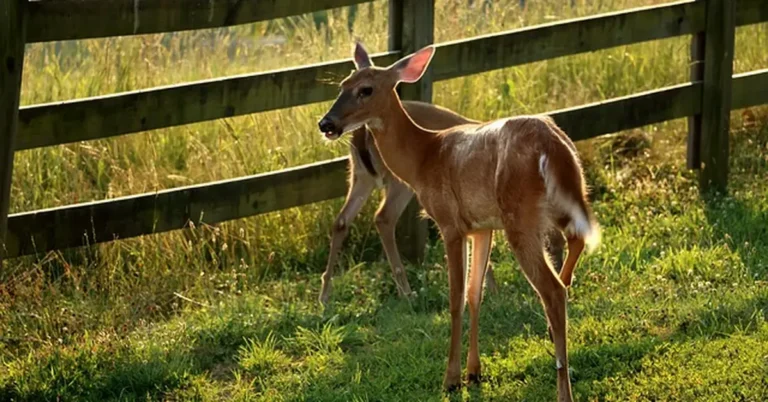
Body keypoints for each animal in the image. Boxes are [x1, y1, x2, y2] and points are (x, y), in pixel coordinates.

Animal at [317, 42, 600, 400]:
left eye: (365, 89)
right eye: (342, 84)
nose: (326, 123)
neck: (425, 155)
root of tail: (552, 147)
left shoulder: (450, 223)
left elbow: (455, 300)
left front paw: (451, 379)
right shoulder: (482, 227)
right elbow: (474, 295)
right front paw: (474, 373)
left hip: (520, 217)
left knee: (552, 290)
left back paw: (563, 387)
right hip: (566, 200)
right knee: (574, 248)